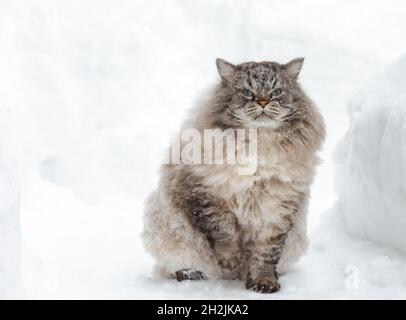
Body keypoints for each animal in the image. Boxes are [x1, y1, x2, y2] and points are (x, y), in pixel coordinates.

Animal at [143, 57, 326, 292]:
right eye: (248, 92)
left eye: (276, 92)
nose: (263, 102)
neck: (259, 148)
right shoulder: (208, 197)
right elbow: (225, 233)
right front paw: (231, 260)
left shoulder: (278, 210)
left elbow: (265, 254)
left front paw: (263, 283)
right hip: (169, 228)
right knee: (177, 265)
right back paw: (195, 274)